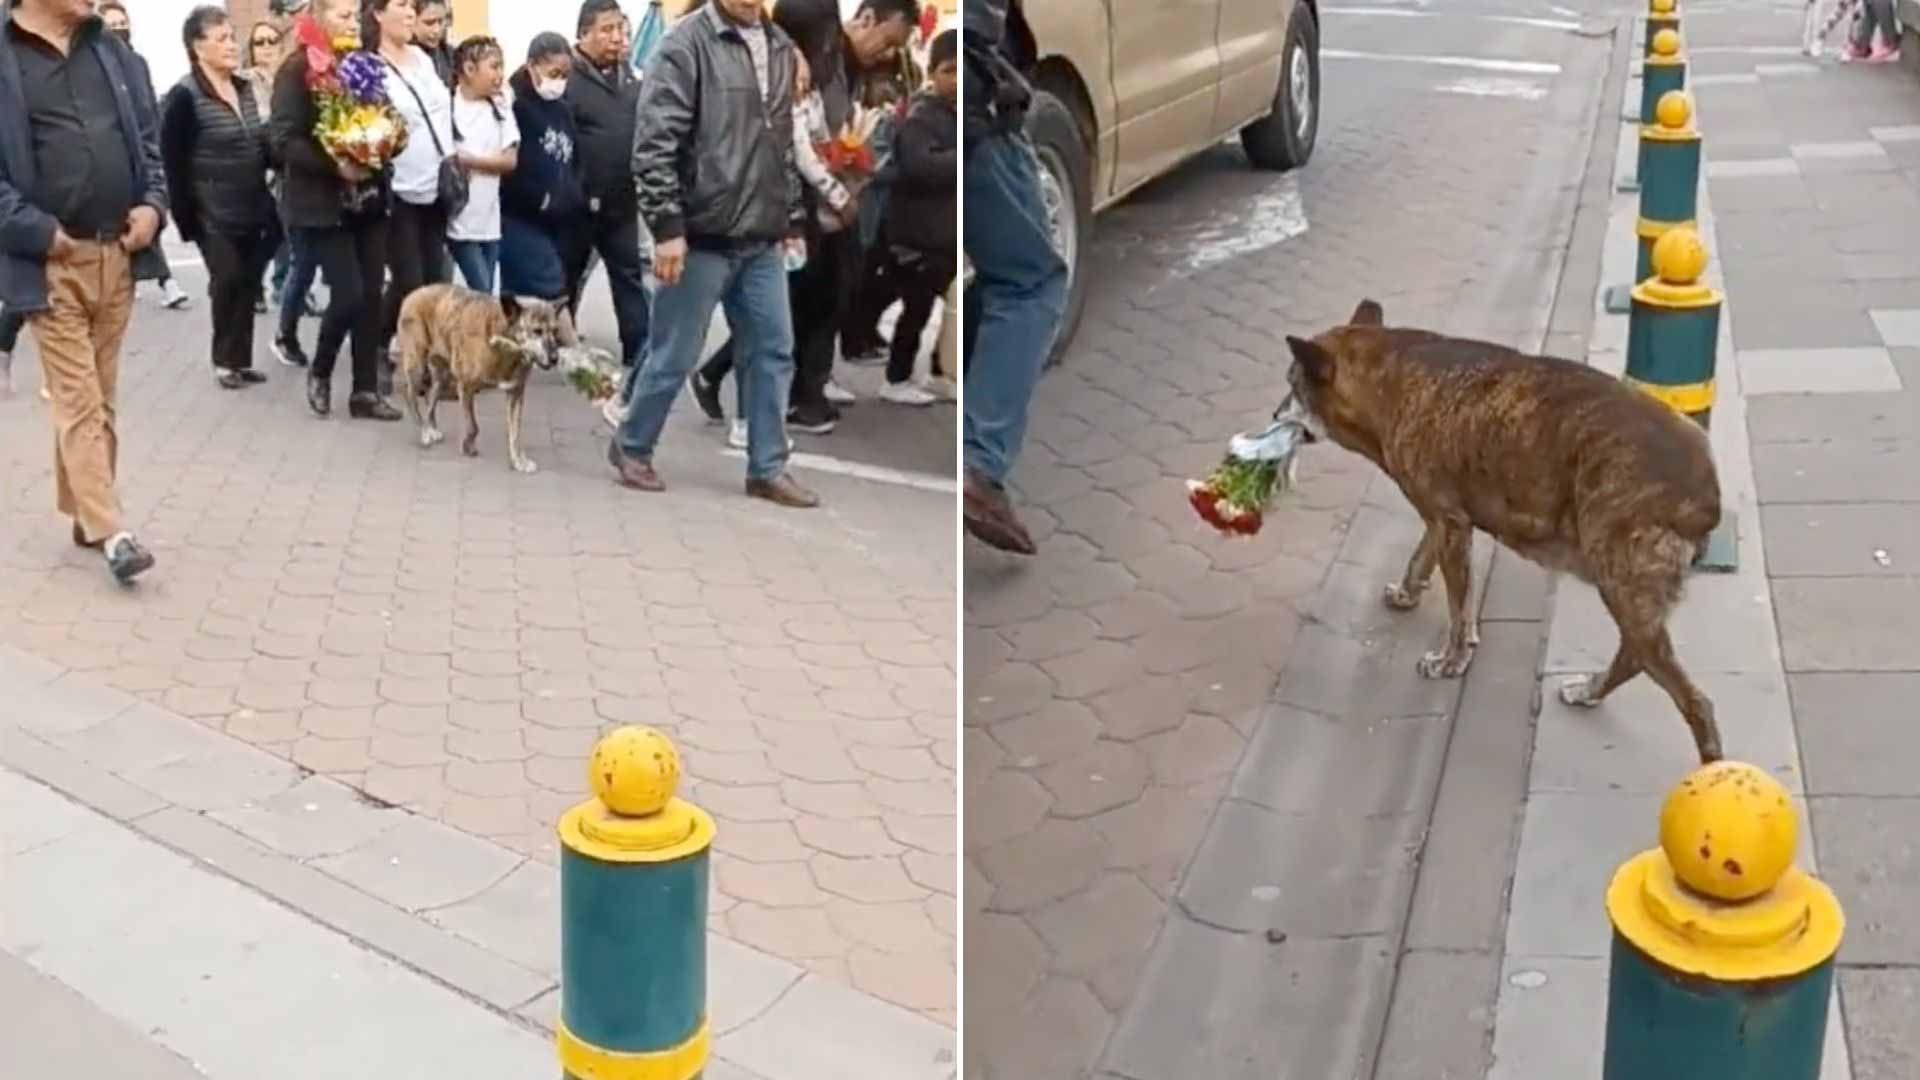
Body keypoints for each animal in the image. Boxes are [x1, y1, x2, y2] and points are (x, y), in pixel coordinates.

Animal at [389, 284, 568, 472]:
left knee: (431, 396)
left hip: (443, 375)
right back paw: (423, 431)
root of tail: (415, 292)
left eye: (555, 331)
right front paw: (468, 446)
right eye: (537, 331)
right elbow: (473, 426)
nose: (555, 358)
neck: (505, 344)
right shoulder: (466, 386)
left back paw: (430, 428)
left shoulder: (516, 393)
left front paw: (518, 460)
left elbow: (515, 433)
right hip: (417, 362)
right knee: (409, 394)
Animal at [1290, 297, 1728, 760]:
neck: (1387, 376)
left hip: (1624, 585)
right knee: (1634, 658)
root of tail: (1705, 489)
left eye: (1291, 384)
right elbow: (1424, 562)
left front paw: (1451, 660)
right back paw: (1590, 690)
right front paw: (1409, 595)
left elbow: (1457, 606)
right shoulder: (1445, 519)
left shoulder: (1449, 523)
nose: (1275, 414)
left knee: (1691, 697)